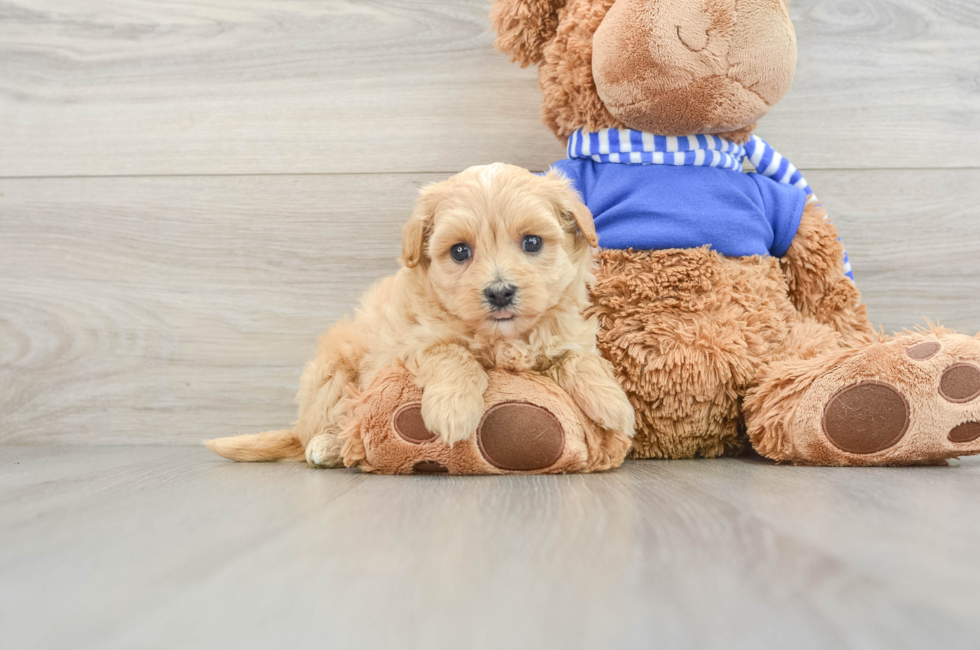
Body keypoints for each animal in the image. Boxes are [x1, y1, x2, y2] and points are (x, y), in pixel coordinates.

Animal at [207, 162, 636, 466]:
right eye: (460, 251)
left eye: (532, 242)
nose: (499, 292)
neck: (503, 338)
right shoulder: (417, 340)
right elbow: (453, 355)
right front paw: (453, 410)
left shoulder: (565, 331)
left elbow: (580, 358)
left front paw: (613, 405)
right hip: (333, 371)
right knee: (339, 419)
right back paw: (328, 446)